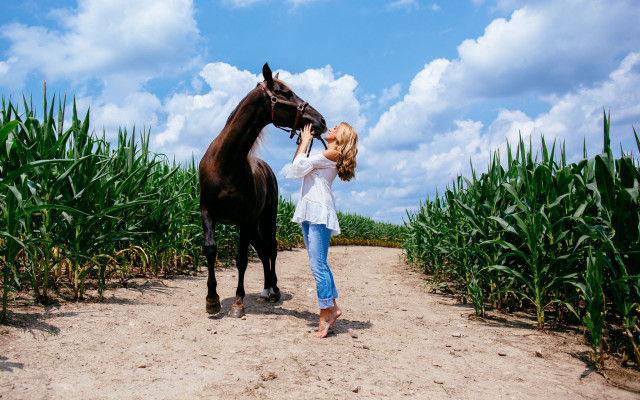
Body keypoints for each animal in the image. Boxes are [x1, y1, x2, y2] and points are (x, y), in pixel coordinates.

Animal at [198, 63, 327, 317]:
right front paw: (212, 299)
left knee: (271, 248)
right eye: (287, 93)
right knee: (262, 249)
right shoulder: (207, 213)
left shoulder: (244, 219)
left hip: (266, 217)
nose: (321, 120)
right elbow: (210, 250)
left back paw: (274, 289)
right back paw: (266, 290)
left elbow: (241, 259)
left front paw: (238, 303)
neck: (225, 162)